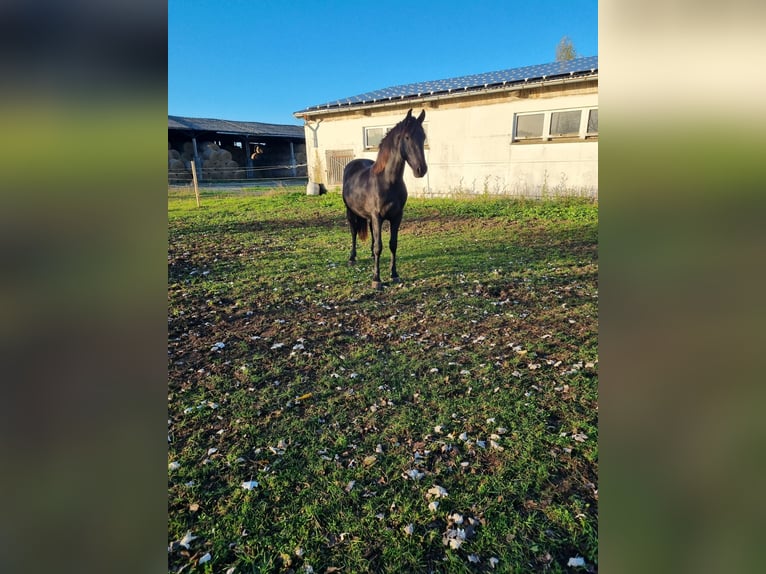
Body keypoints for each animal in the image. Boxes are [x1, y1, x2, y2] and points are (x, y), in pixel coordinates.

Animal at [344, 108, 428, 290]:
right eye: (407, 137)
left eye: (423, 137)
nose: (421, 170)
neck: (388, 181)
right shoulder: (378, 216)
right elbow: (379, 246)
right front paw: (376, 279)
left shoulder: (396, 217)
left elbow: (392, 244)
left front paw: (394, 274)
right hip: (351, 212)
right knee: (353, 232)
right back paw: (352, 258)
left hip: (369, 217)